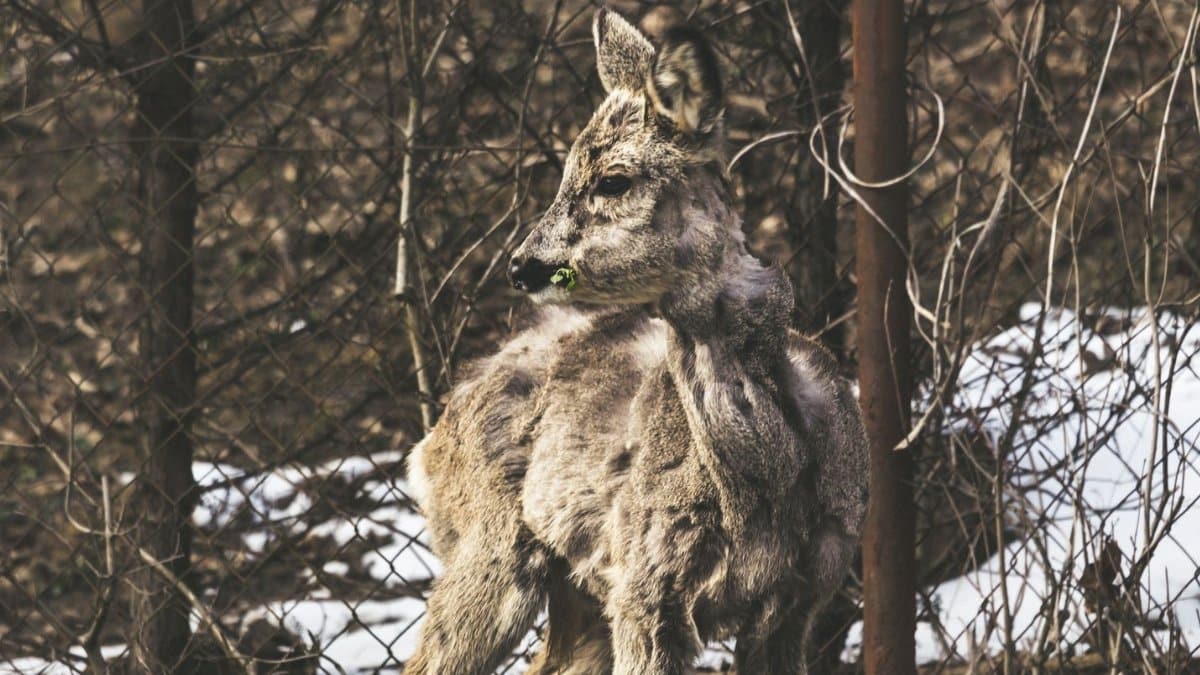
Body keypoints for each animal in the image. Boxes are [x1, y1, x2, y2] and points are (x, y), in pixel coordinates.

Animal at [404, 8, 868, 674]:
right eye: (565, 172)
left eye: (614, 180)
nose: (522, 265)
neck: (768, 476)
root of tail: (429, 442)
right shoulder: (648, 588)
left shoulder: (807, 594)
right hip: (491, 545)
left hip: (578, 586)